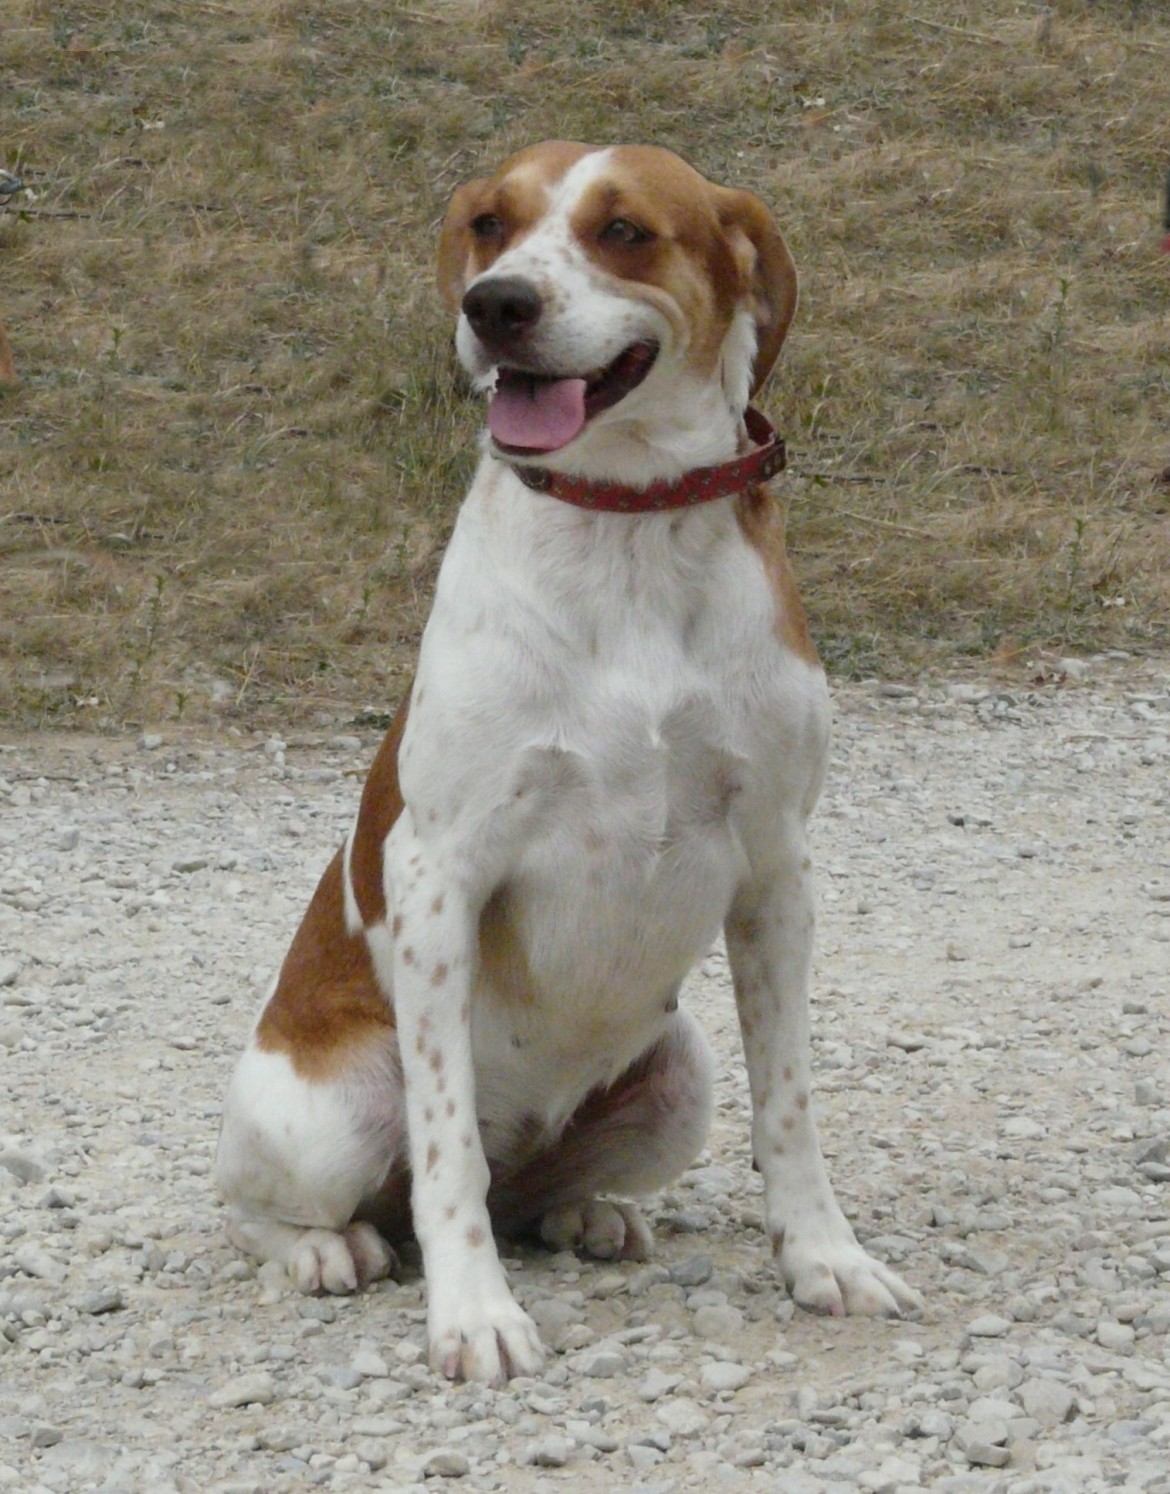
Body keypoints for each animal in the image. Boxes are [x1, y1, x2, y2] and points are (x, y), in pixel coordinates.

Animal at [215, 142, 920, 1386]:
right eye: (491, 225)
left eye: (624, 231)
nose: (495, 306)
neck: (623, 529)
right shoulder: (440, 872)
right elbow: (447, 1151)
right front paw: (472, 1314)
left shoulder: (777, 870)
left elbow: (789, 1110)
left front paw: (824, 1258)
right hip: (322, 1114)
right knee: (291, 1202)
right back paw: (326, 1248)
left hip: (680, 1069)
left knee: (533, 1194)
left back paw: (587, 1212)